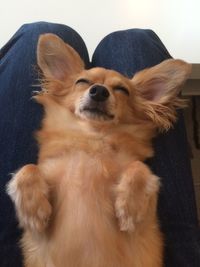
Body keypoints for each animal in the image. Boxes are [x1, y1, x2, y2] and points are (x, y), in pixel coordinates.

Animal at [6, 34, 191, 267]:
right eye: (82, 82)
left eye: (122, 90)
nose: (99, 91)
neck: (92, 140)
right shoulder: (36, 235)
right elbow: (28, 168)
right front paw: (33, 209)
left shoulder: (145, 226)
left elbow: (139, 167)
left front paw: (130, 206)